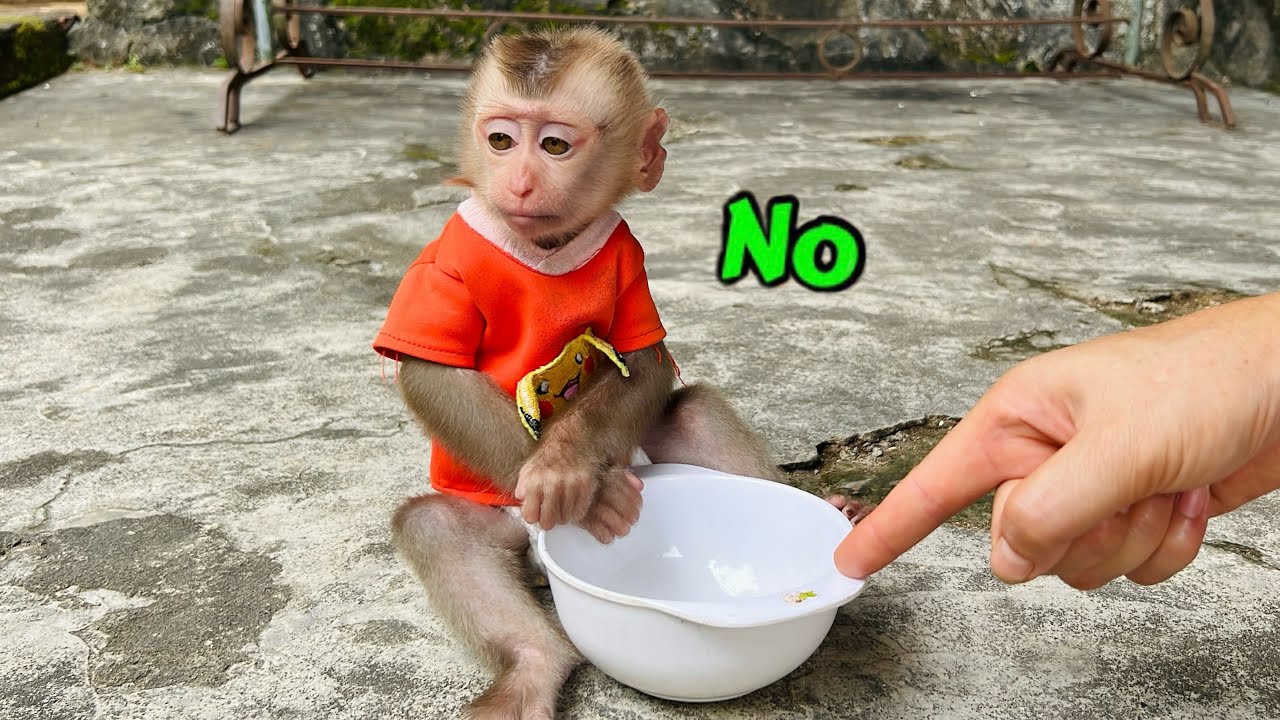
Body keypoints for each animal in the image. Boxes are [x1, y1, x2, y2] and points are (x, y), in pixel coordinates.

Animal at [372, 27, 871, 719]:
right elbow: (433, 374)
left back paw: (837, 510)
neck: (547, 247)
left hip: (642, 454)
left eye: (554, 145)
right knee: (437, 528)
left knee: (693, 412)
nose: (517, 183)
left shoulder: (627, 249)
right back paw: (536, 664)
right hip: (506, 521)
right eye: (500, 140)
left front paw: (567, 463)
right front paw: (587, 492)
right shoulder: (445, 261)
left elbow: (645, 362)